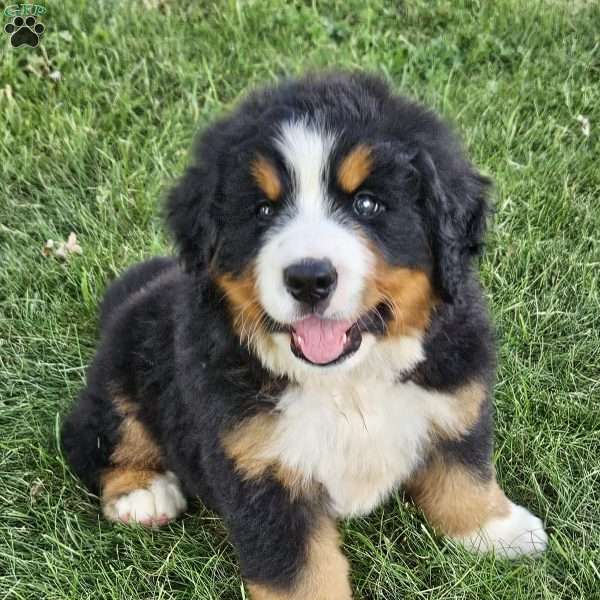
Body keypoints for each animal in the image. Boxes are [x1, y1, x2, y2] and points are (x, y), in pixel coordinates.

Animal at [62, 72, 548, 596]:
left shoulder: (457, 395)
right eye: (262, 210)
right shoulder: (258, 470)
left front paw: (497, 530)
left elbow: (463, 473)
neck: (347, 382)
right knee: (94, 436)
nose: (309, 279)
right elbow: (299, 571)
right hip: (127, 371)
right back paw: (142, 491)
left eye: (368, 203)